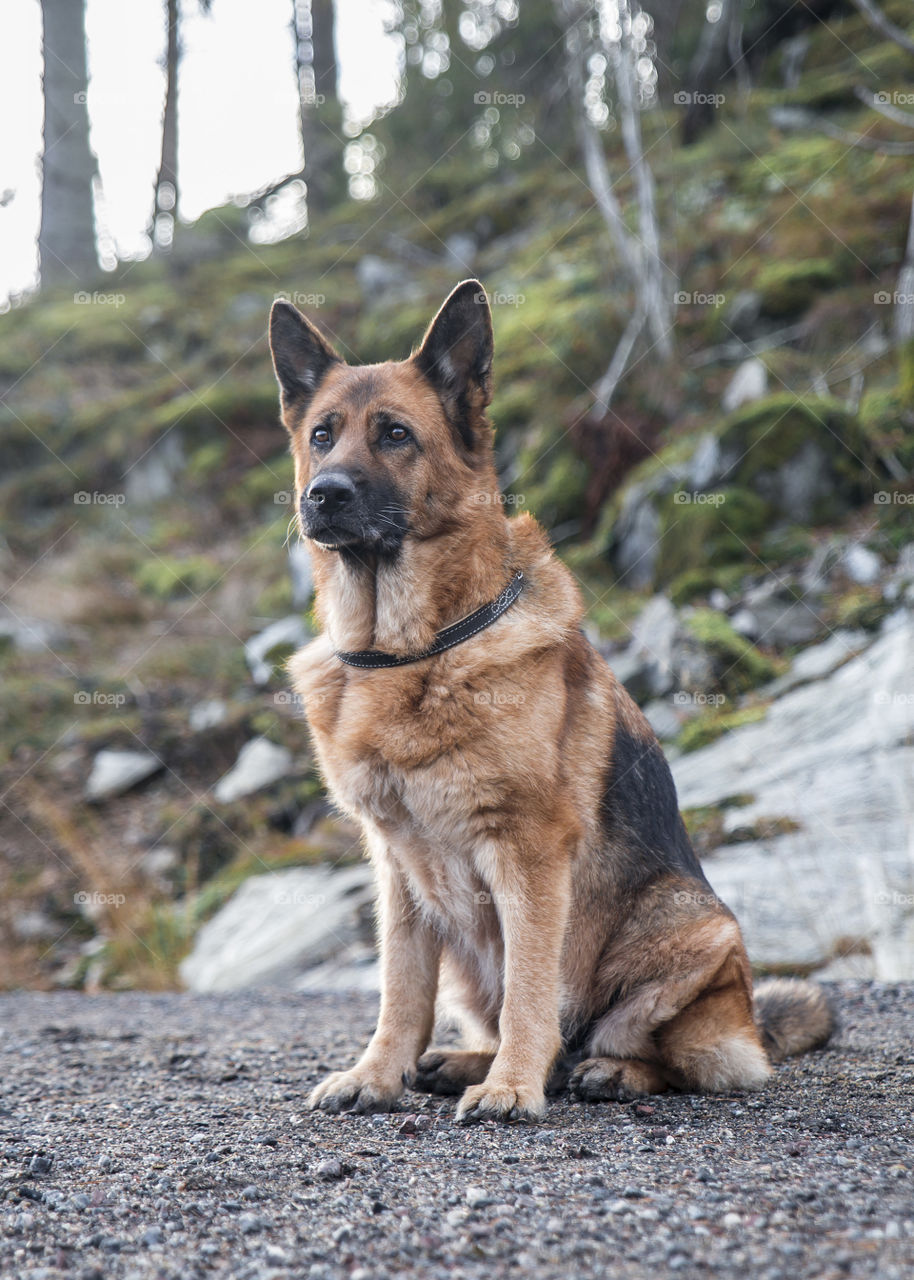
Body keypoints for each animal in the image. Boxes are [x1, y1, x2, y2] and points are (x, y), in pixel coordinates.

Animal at [267, 280, 829, 1121]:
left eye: (395, 434)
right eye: (323, 434)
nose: (322, 495)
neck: (414, 651)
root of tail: (752, 1021)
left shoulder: (528, 855)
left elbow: (534, 989)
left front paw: (510, 1090)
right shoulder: (397, 868)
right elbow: (401, 988)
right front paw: (377, 1073)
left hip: (694, 931)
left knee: (662, 1054)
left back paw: (603, 1072)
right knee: (517, 1022)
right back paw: (462, 1062)